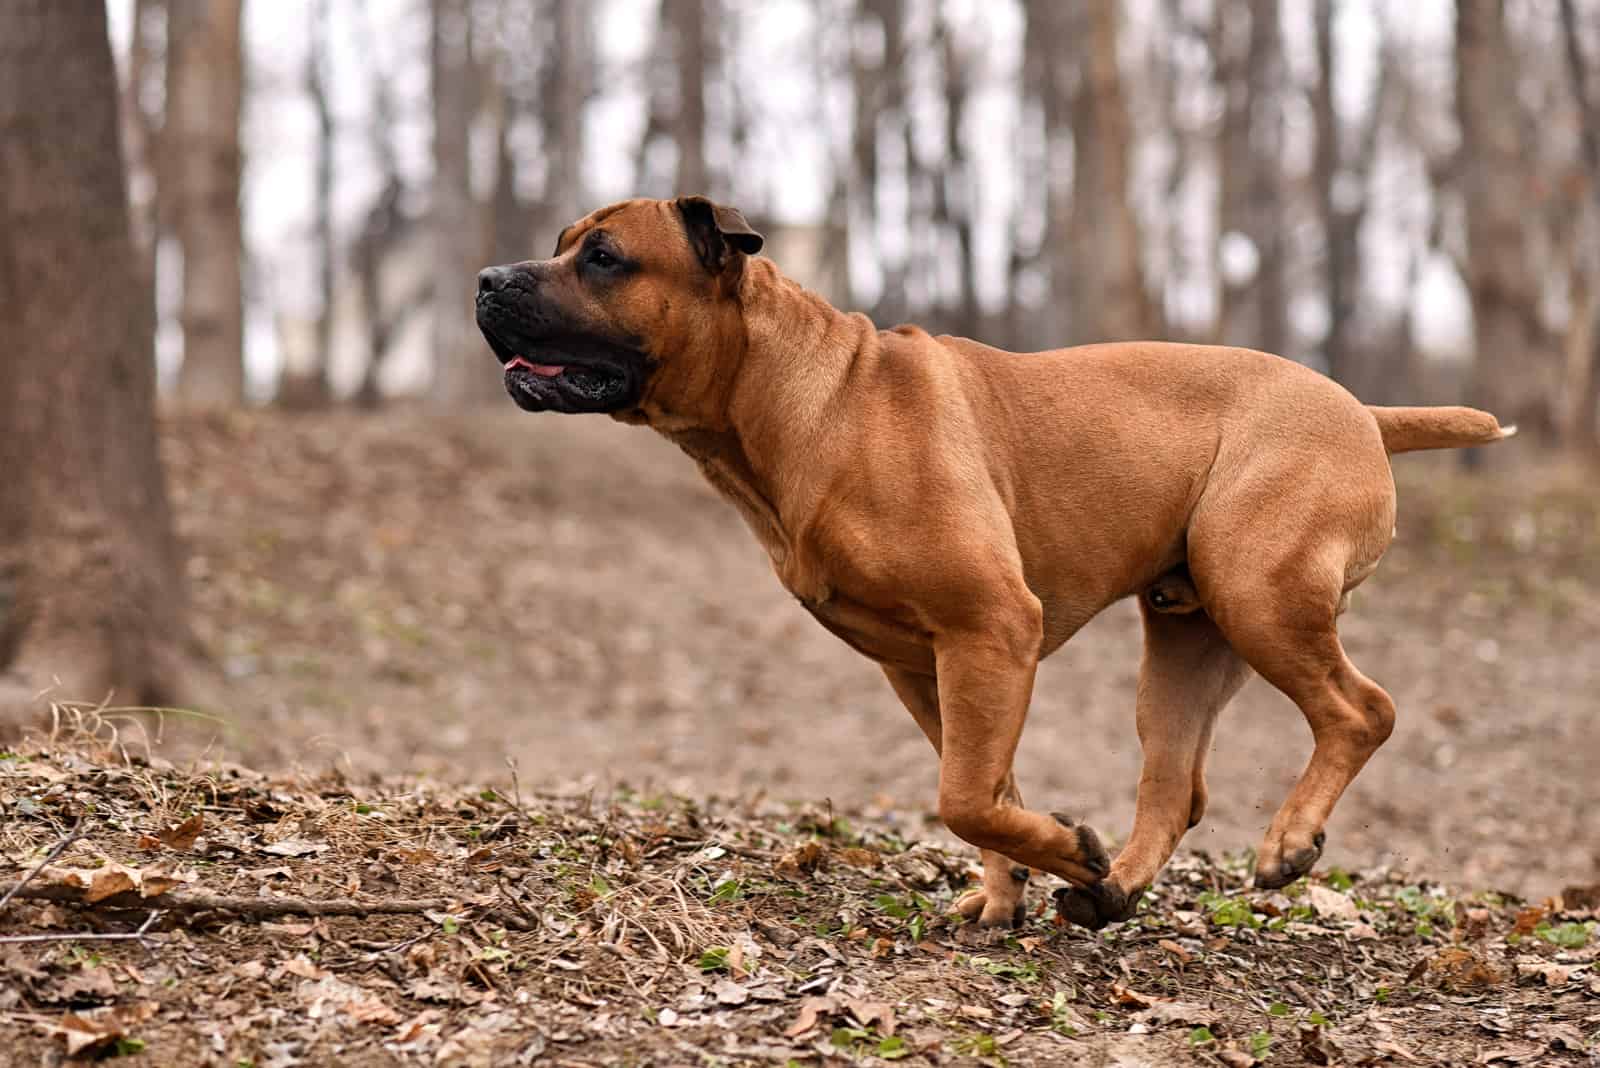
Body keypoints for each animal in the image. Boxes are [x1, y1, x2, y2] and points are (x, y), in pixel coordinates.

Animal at [470, 198, 1510, 927]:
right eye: (564, 242)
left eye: (604, 257)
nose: (486, 278)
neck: (806, 403)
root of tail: (1360, 411)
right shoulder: (927, 662)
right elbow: (988, 787)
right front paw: (1028, 882)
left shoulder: (990, 630)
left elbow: (965, 795)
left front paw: (1057, 854)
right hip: (1186, 632)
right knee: (1176, 785)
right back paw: (1112, 890)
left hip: (1259, 591)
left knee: (1361, 709)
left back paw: (1285, 844)